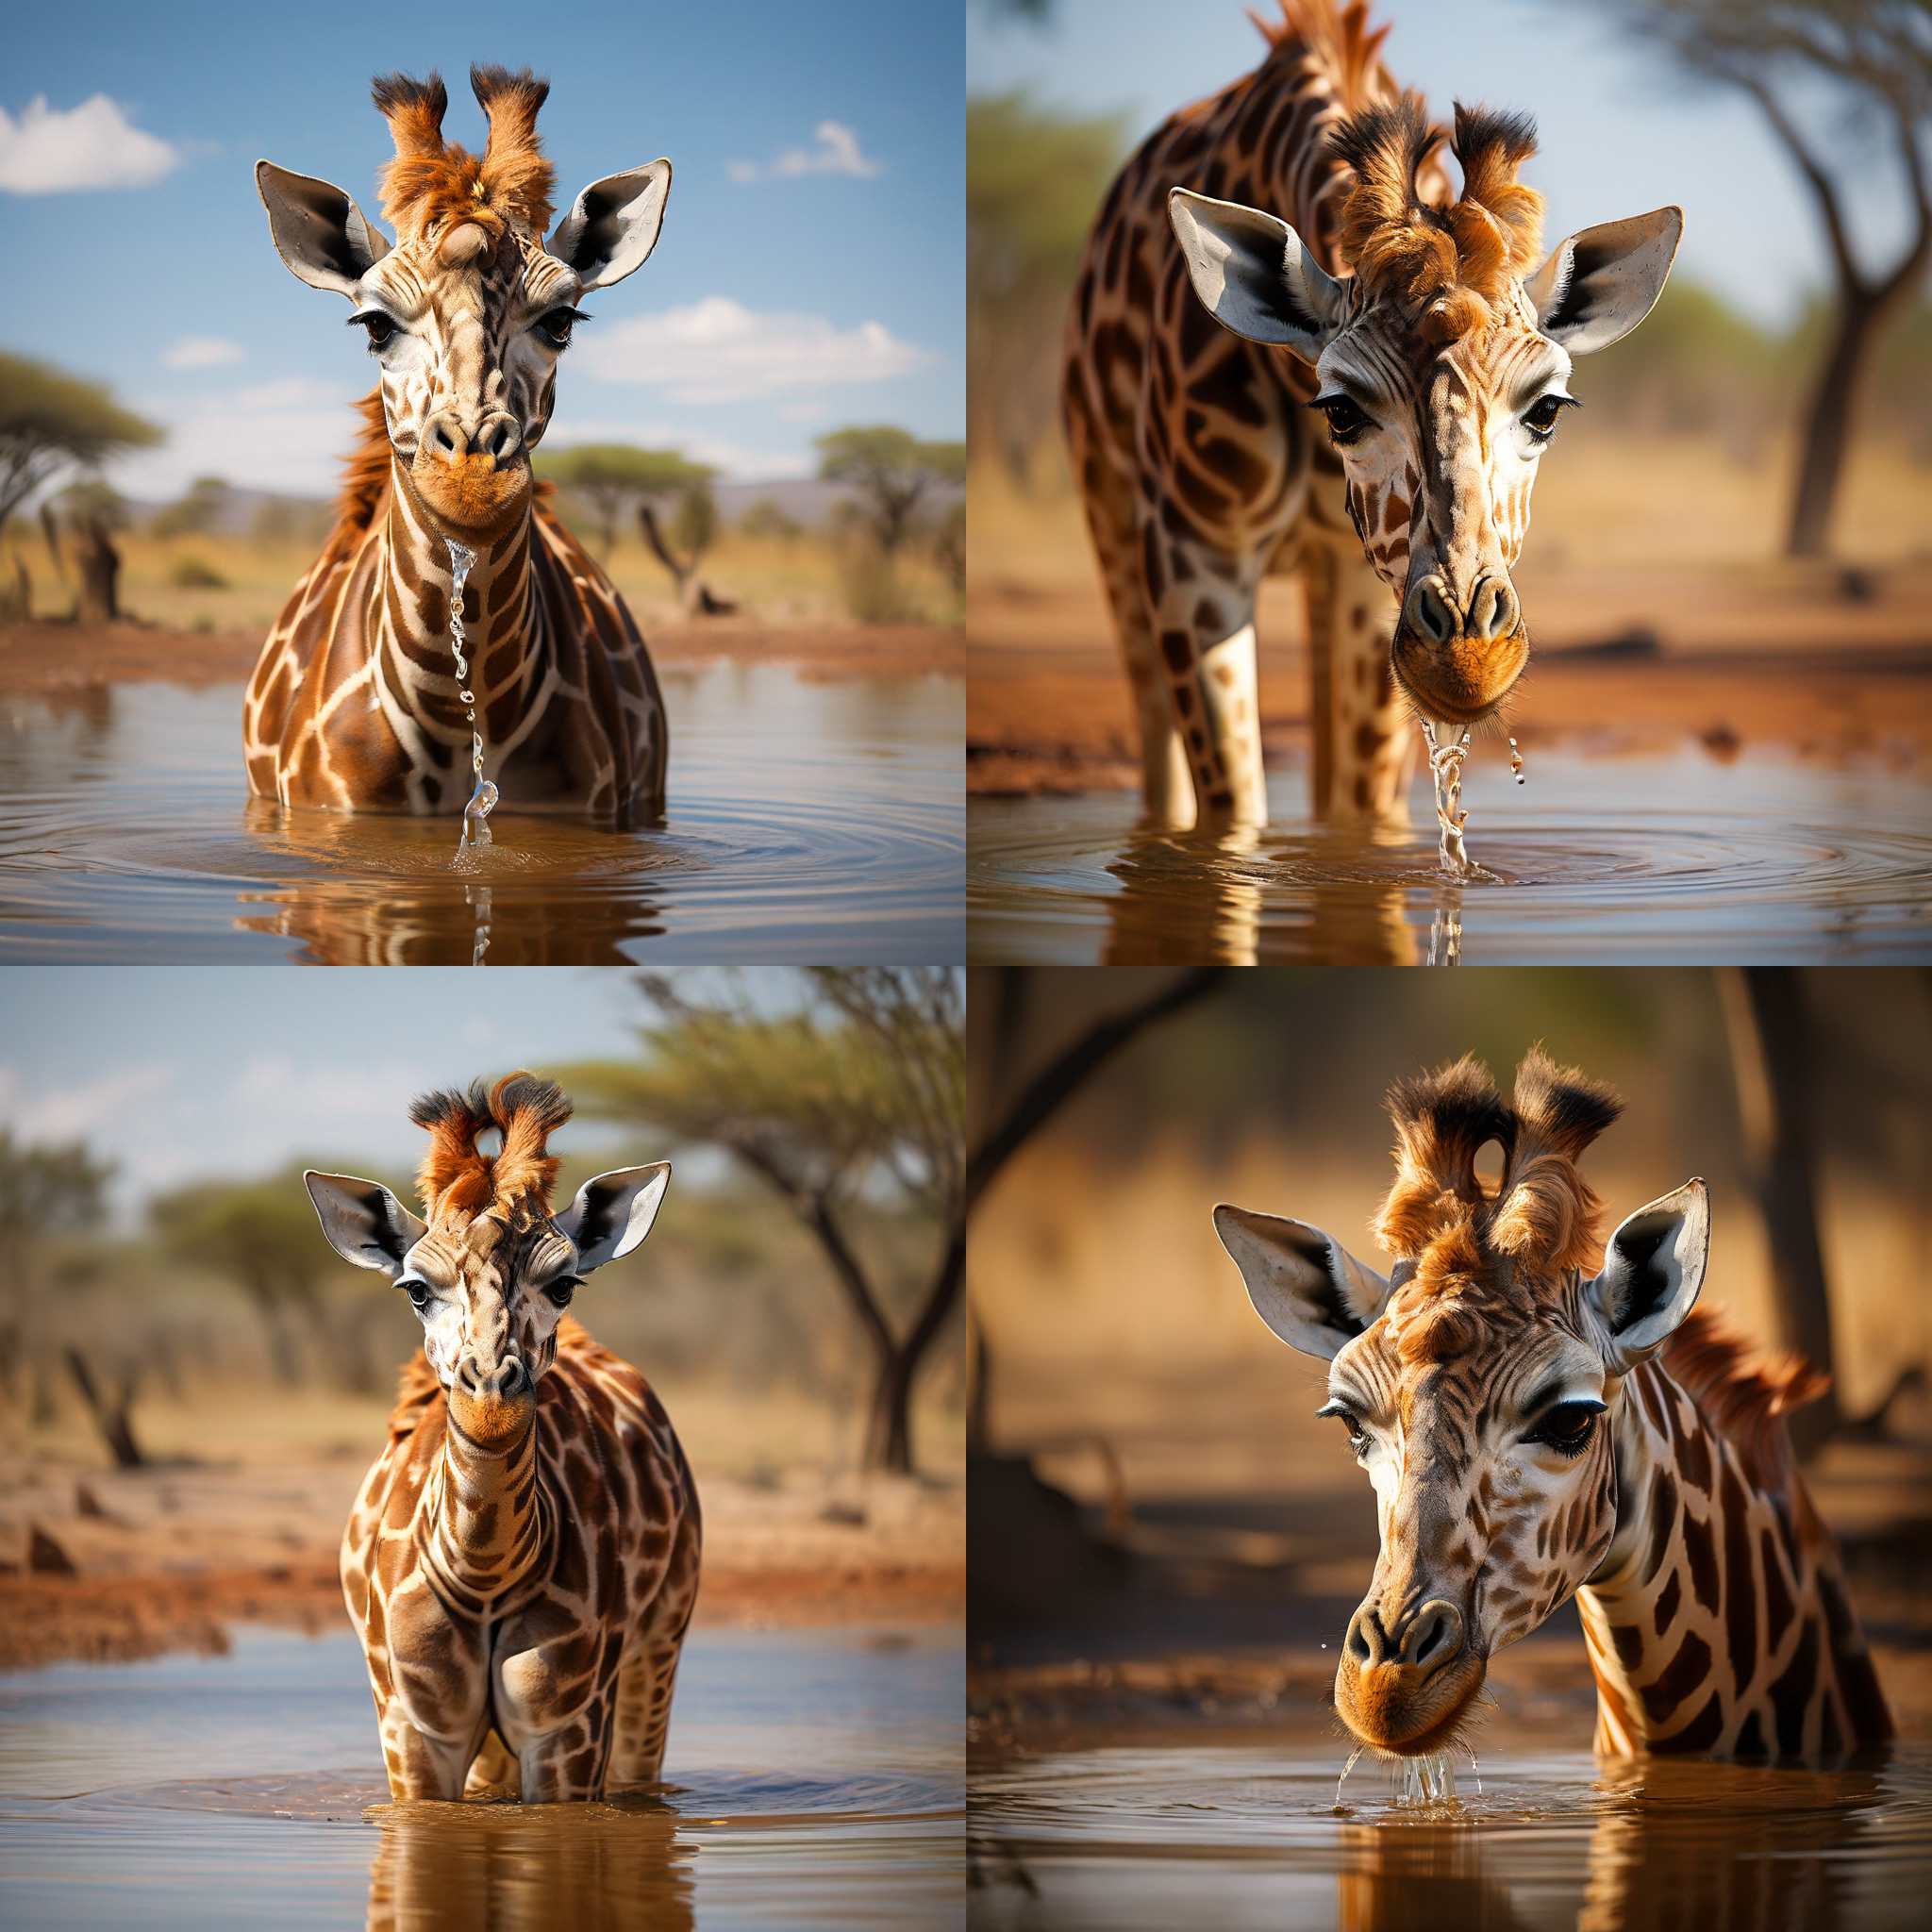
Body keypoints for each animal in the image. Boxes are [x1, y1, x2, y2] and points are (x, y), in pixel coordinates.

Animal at [297, 1074, 699, 1792]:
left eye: (564, 1283)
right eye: (415, 1288)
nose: (489, 1392)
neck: (483, 1571)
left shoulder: (569, 1724)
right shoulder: (414, 1725)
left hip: (659, 1645)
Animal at [1066, 0, 1684, 823]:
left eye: (1546, 410)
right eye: (1341, 410)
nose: (1467, 660)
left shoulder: (1368, 581)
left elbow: (1358, 816)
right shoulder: (1195, 546)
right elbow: (1233, 817)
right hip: (1109, 511)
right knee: (1157, 752)